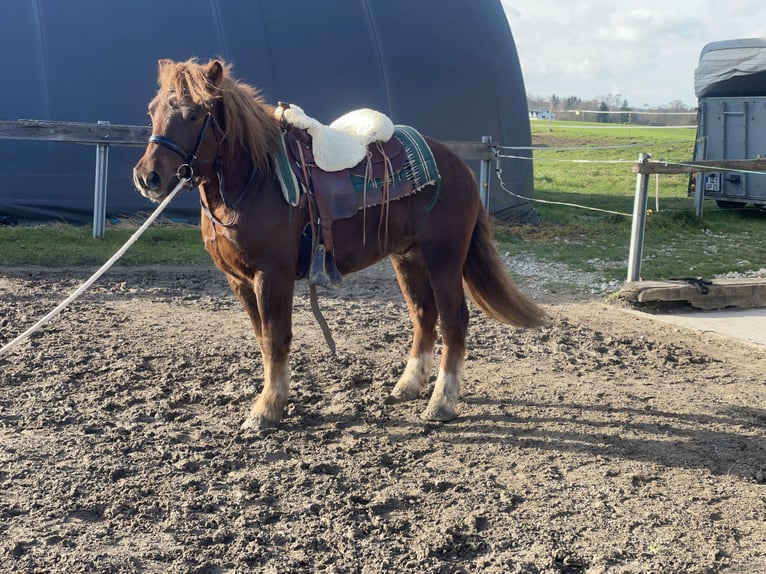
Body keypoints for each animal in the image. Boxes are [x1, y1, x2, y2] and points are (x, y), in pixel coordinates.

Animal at [135, 58, 548, 430]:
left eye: (192, 114)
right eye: (152, 110)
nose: (147, 177)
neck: (255, 181)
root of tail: (456, 164)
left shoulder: (272, 275)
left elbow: (275, 338)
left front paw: (266, 410)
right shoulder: (238, 280)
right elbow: (263, 339)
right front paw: (273, 400)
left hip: (444, 259)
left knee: (453, 320)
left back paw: (441, 403)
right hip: (408, 258)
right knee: (423, 316)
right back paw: (409, 385)